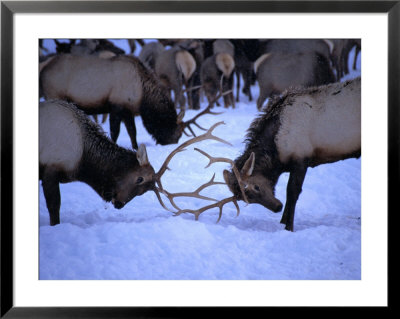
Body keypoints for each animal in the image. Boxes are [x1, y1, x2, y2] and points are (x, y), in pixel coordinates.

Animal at [39, 99, 231, 226]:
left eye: (143, 191)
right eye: (140, 178)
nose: (119, 204)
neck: (82, 163)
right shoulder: (50, 168)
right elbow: (54, 207)